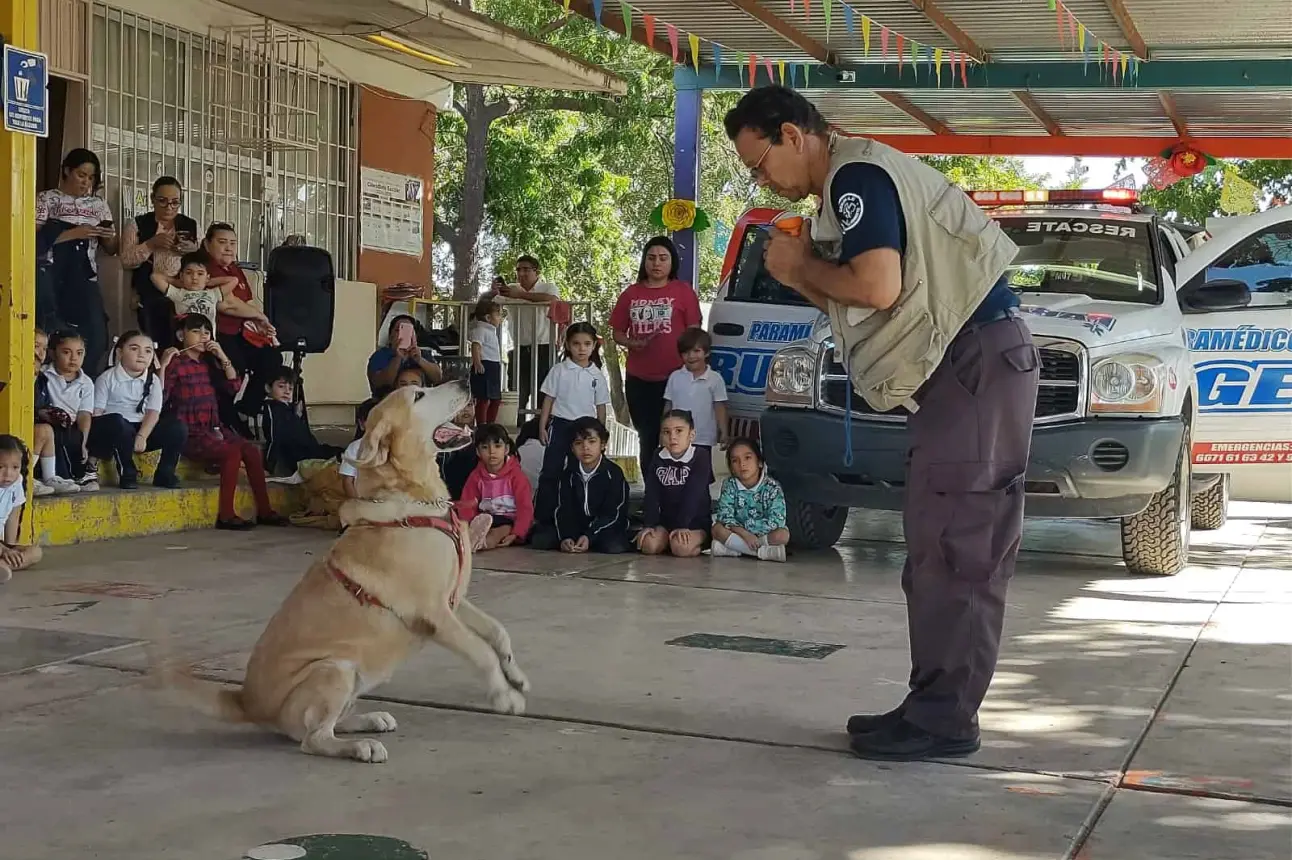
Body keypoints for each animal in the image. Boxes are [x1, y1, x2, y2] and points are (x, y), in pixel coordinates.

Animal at [156, 382, 529, 764]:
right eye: (418, 395)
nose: (466, 382)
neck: (413, 499)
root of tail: (247, 702)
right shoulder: (435, 613)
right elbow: (481, 652)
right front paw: (505, 696)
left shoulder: (454, 601)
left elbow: (498, 633)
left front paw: (515, 676)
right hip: (334, 669)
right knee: (313, 738)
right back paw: (360, 746)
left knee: (327, 726)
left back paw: (368, 720)